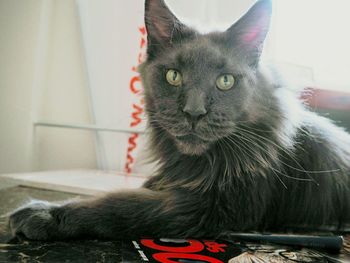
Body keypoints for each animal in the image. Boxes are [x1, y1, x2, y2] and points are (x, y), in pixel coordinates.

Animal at [8, 0, 350, 240]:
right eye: (173, 76)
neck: (199, 164)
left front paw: (45, 214)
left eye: (225, 81)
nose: (194, 112)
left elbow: (123, 205)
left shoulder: (213, 208)